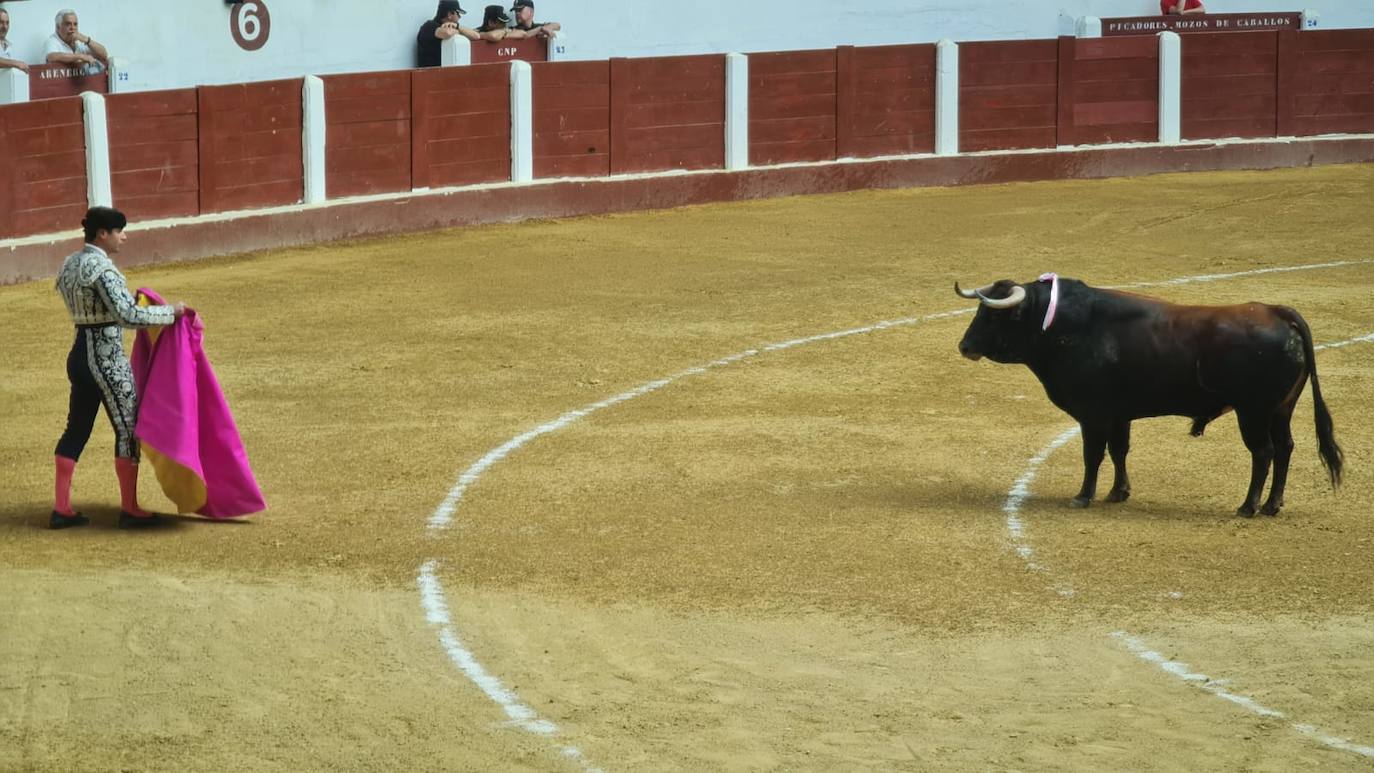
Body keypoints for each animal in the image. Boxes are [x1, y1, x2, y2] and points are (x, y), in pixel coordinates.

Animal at [956, 274, 1341, 516]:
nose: (964, 346)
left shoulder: (1093, 415)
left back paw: (1248, 507)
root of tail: (1278, 312)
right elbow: (1119, 451)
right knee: (1285, 448)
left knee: (1263, 452)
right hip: (1281, 409)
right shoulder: (1118, 414)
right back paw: (1273, 505)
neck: (1060, 327)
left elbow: (1092, 455)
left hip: (1254, 412)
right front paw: (1118, 493)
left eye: (994, 316)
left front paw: (1083, 496)